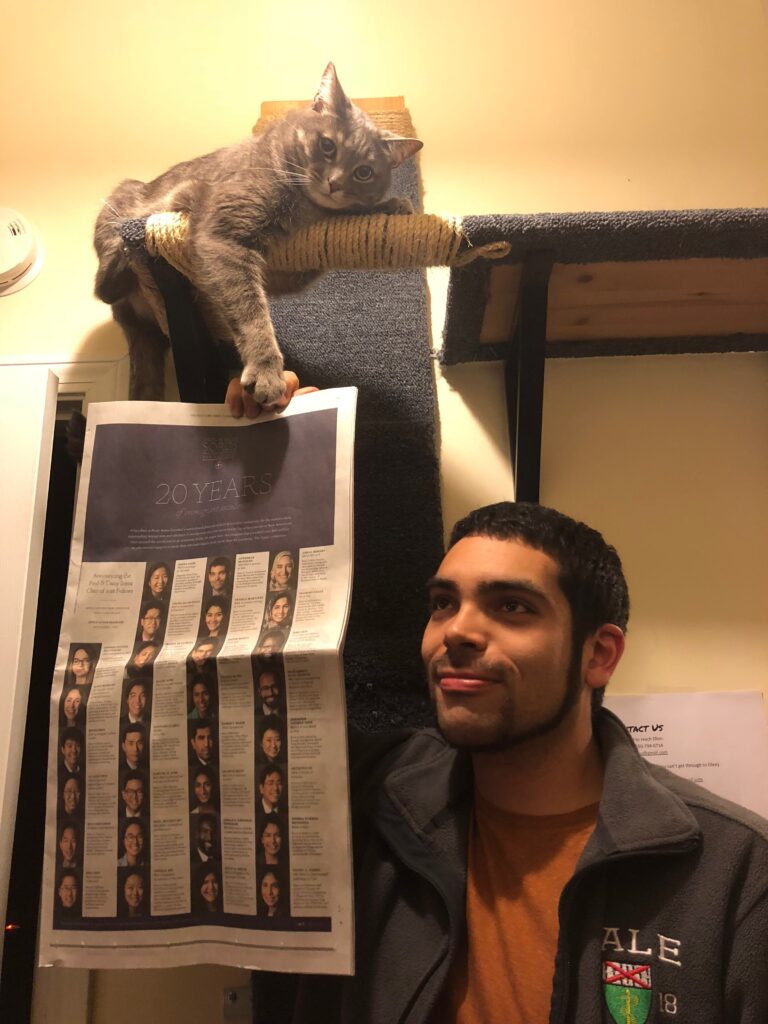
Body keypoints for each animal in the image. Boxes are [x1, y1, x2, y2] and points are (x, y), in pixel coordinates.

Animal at [95, 58, 423, 403]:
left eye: (363, 172)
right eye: (327, 145)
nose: (334, 184)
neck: (305, 209)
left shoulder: (288, 270)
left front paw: (393, 205)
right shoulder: (224, 235)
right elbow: (251, 312)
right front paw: (267, 372)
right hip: (123, 207)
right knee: (104, 285)